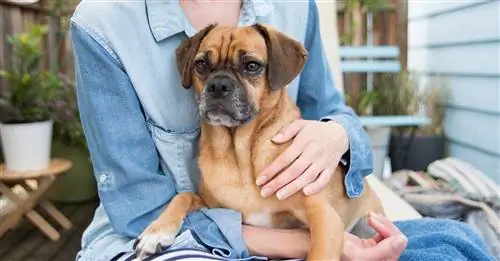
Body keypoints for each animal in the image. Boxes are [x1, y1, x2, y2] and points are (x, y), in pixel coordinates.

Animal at [135, 23, 384, 258]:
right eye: (202, 64)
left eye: (252, 66)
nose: (218, 85)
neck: (240, 154)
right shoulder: (210, 206)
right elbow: (183, 196)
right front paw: (155, 232)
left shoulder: (323, 216)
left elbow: (319, 253)